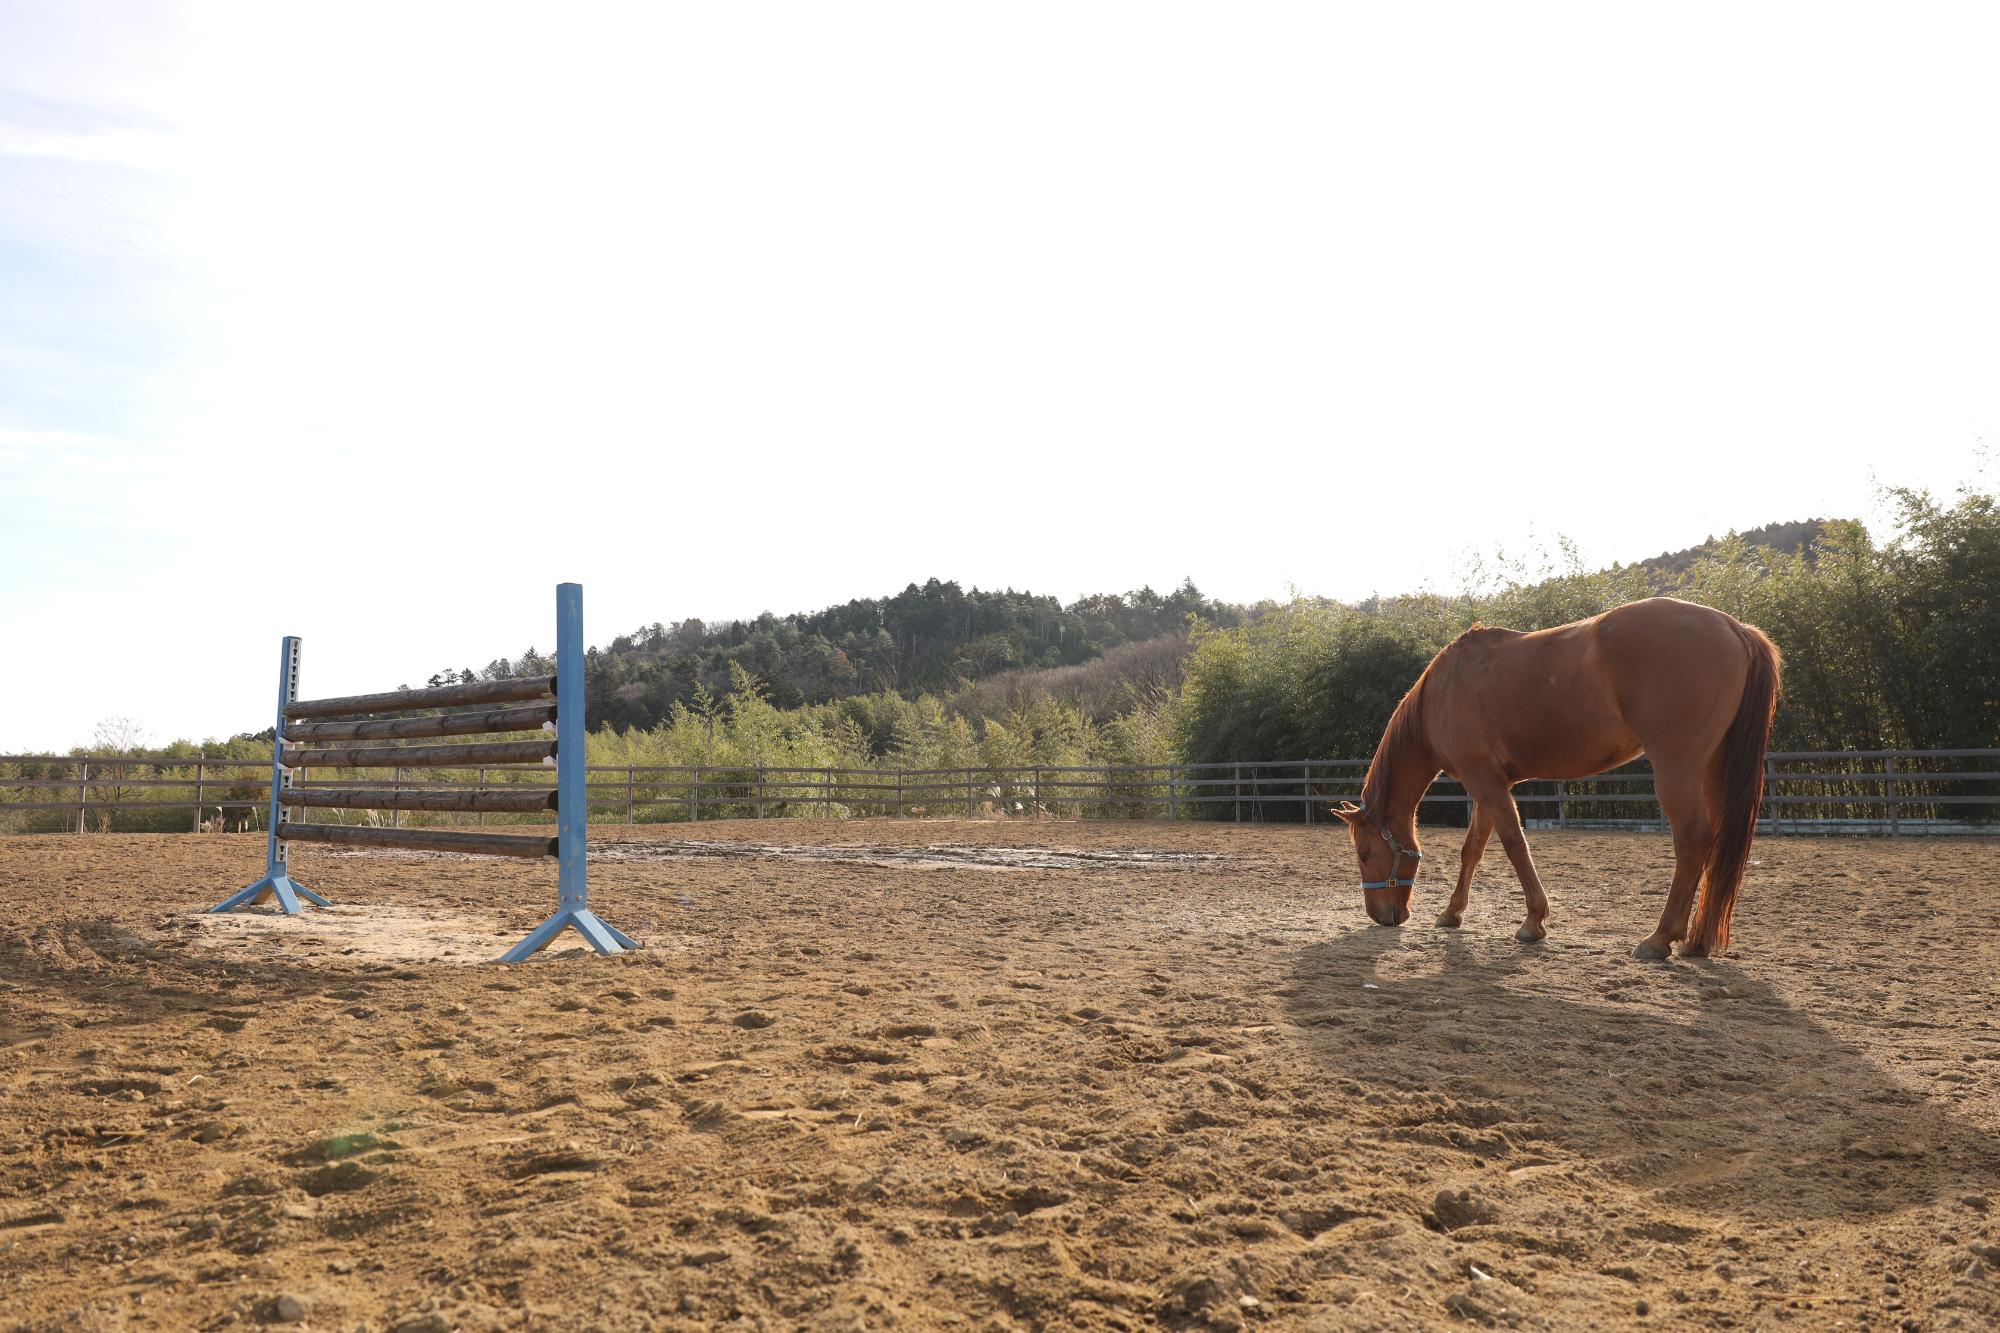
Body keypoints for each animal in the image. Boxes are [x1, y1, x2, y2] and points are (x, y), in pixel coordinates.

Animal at [1328, 600, 1784, 956]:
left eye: (1364, 853)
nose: (1381, 916)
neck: (1438, 695)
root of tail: (1734, 628)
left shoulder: (1484, 780)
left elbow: (1514, 844)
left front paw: (1533, 921)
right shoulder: (1490, 783)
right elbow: (1472, 849)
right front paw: (1451, 913)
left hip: (1677, 768)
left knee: (1693, 840)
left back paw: (1659, 939)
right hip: (1713, 767)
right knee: (1718, 842)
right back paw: (1698, 941)